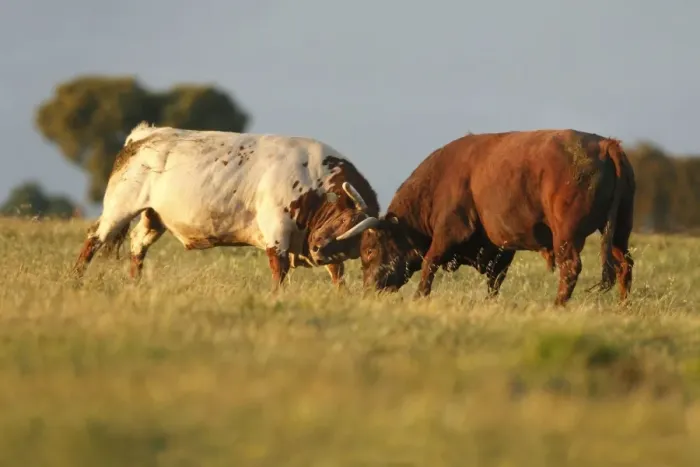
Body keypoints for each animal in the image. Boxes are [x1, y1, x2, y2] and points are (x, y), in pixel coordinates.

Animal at [72, 122, 381, 290]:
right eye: (344, 222)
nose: (316, 250)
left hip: (153, 217)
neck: (312, 179)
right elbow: (278, 269)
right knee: (93, 239)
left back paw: (134, 286)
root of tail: (145, 134)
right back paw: (75, 281)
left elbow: (337, 274)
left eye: (359, 247)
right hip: (119, 207)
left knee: (137, 245)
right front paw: (275, 297)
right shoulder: (277, 231)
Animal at [325, 129, 635, 306]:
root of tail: (606, 144)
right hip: (619, 231)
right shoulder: (501, 248)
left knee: (571, 267)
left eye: (369, 250)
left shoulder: (449, 232)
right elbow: (494, 281)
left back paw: (557, 305)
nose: (369, 290)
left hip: (567, 234)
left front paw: (419, 298)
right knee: (625, 266)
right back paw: (623, 307)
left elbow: (429, 265)